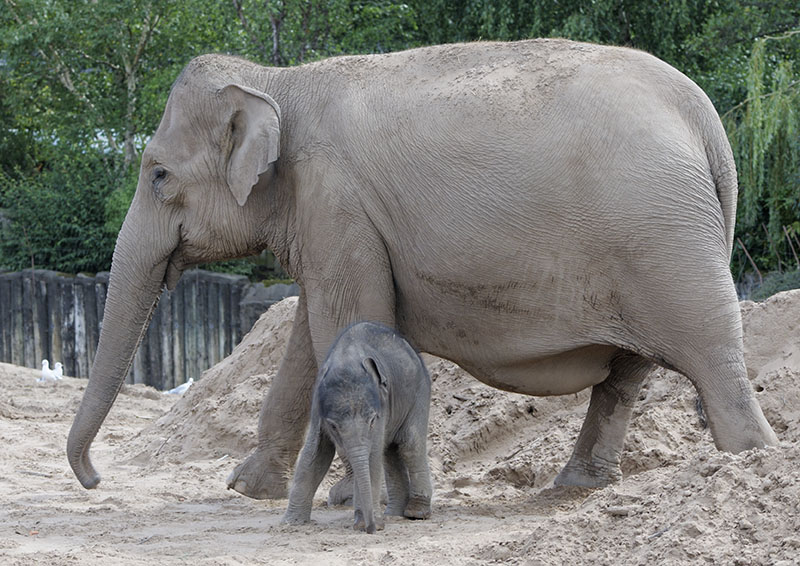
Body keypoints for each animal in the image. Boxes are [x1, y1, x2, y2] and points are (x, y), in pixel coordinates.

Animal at [67, 38, 778, 498]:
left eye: (159, 176)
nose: (96, 480)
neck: (282, 80)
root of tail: (707, 122)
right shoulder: (331, 222)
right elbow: (311, 337)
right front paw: (247, 488)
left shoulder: (336, 202)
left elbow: (345, 323)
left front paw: (345, 498)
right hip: (655, 243)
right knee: (626, 377)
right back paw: (570, 489)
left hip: (665, 244)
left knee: (713, 358)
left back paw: (746, 465)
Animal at [282, 321, 432, 533]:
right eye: (333, 426)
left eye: (372, 420)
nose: (372, 528)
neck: (346, 358)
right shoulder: (318, 409)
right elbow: (314, 453)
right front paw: (290, 523)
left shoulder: (382, 406)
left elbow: (372, 456)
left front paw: (369, 524)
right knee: (390, 452)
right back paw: (393, 514)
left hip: (420, 391)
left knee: (409, 445)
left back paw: (416, 513)